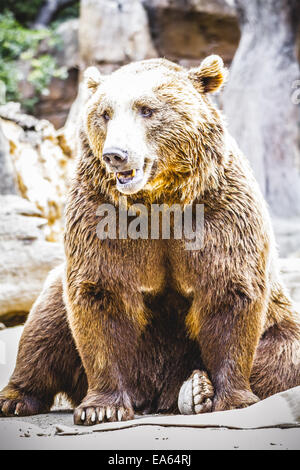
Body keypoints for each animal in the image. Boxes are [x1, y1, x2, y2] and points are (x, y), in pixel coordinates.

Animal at [0, 55, 300, 426]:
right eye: (105, 113)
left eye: (147, 110)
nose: (116, 154)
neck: (159, 201)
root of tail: (155, 396)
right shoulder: (103, 216)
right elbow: (101, 294)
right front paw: (102, 407)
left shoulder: (219, 212)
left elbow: (230, 292)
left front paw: (234, 399)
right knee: (45, 326)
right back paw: (15, 399)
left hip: (280, 322)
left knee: (283, 357)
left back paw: (195, 391)